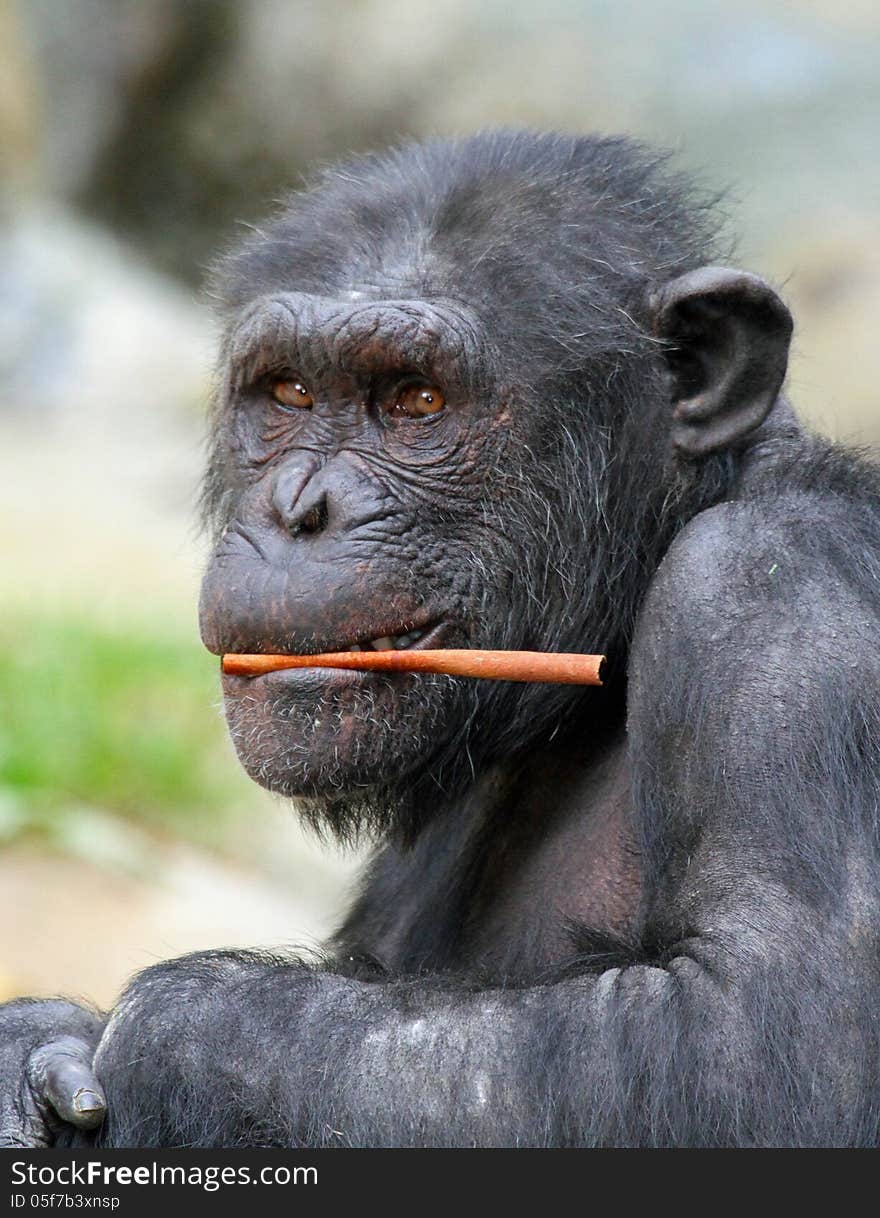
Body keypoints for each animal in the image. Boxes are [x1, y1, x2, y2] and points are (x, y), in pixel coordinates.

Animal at [1, 128, 877, 1144]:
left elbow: (763, 1043)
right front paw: (32, 1052)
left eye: (416, 400)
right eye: (289, 391)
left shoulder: (782, 606)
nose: (301, 511)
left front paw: (139, 1030)